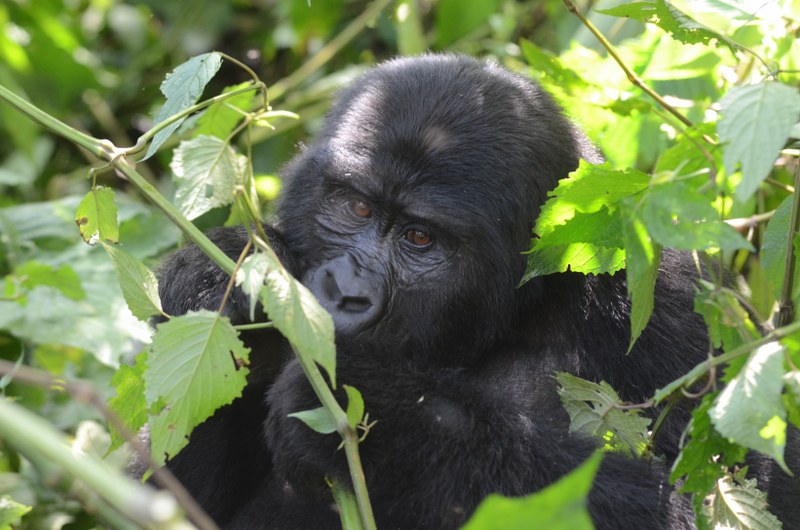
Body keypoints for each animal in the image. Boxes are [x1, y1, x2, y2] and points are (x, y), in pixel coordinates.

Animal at [156, 54, 792, 528]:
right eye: (357, 207)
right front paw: (215, 282)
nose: (344, 292)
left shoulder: (679, 309)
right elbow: (171, 489)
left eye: (419, 237)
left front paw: (396, 430)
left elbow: (719, 498)